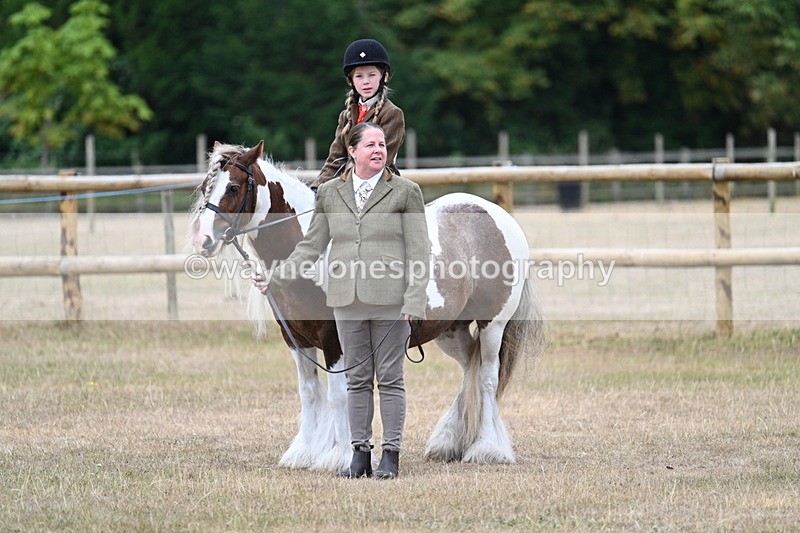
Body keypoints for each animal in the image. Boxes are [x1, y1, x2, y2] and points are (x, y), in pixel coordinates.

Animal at [188, 140, 545, 471]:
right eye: (206, 187)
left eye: (233, 187)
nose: (203, 241)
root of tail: (496, 215)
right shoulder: (296, 339)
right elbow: (309, 392)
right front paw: (304, 453)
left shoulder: (334, 338)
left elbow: (338, 395)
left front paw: (339, 456)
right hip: (450, 330)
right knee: (469, 368)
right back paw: (449, 442)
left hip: (492, 324)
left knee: (487, 378)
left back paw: (487, 448)